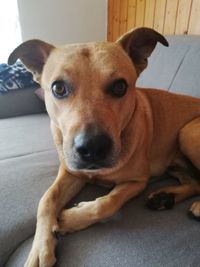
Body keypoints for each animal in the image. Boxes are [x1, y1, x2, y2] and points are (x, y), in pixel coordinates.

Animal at [9, 27, 200, 267]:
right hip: (178, 158)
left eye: (120, 87)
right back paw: (164, 197)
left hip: (189, 132)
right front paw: (39, 250)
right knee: (195, 182)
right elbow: (46, 200)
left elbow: (109, 202)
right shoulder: (71, 173)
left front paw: (71, 219)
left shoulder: (137, 181)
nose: (92, 148)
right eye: (58, 88)